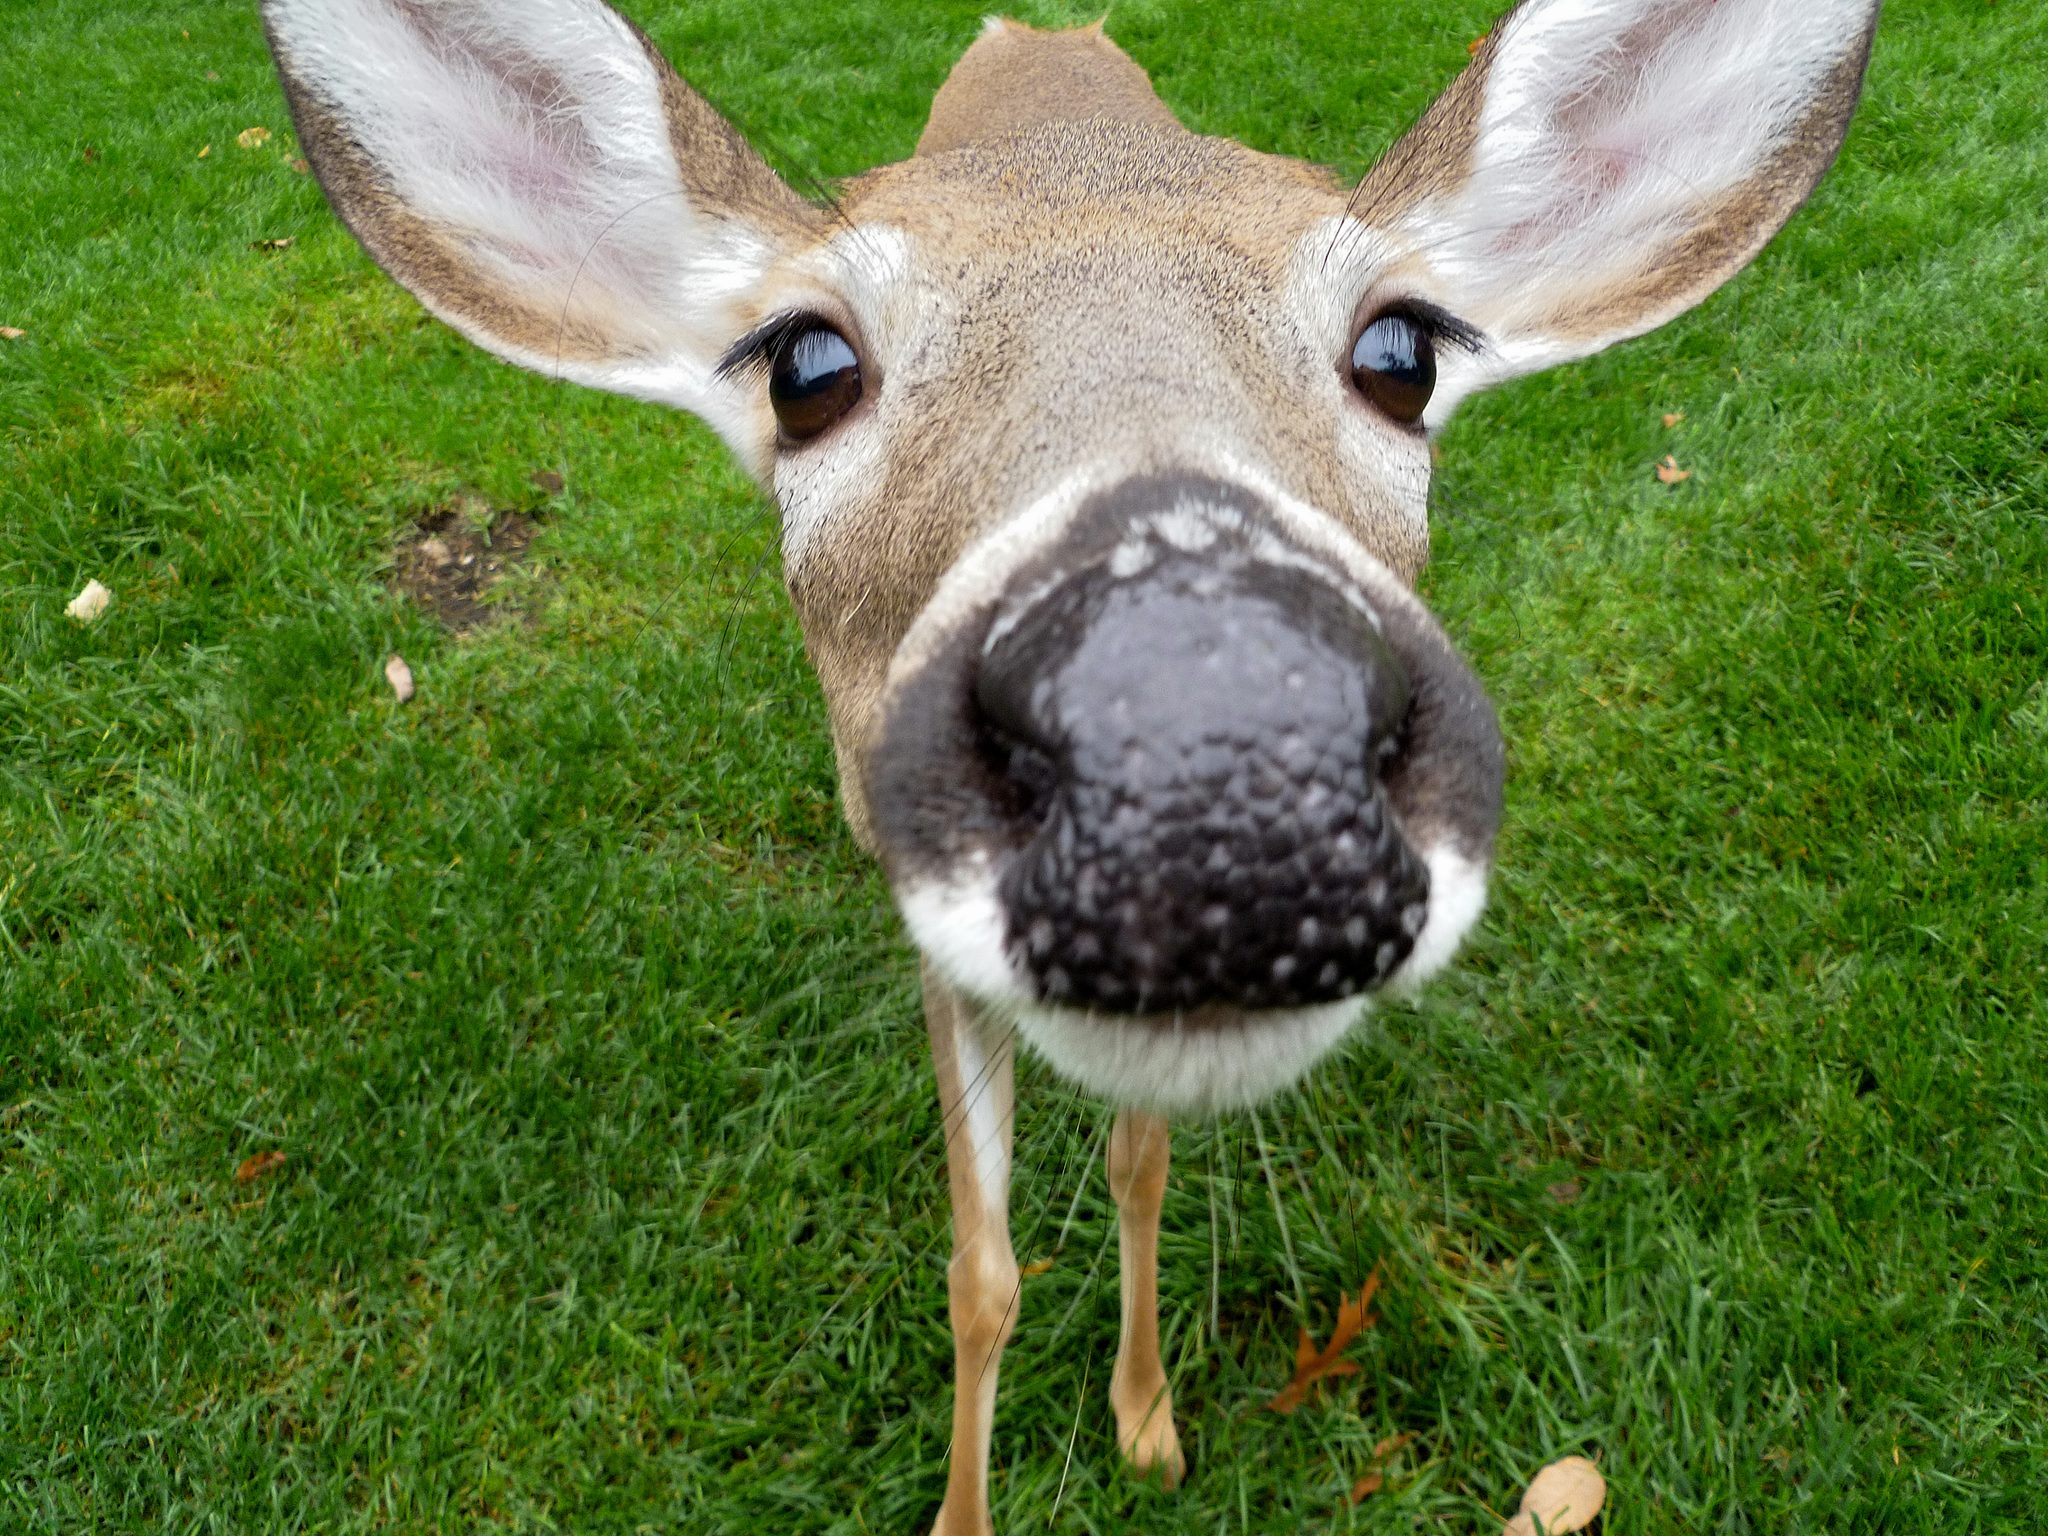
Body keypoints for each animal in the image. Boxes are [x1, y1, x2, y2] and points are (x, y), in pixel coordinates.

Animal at [260, 3, 1884, 1531]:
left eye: (1402, 349)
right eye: (806, 362)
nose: (1208, 752)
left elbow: (1137, 1168)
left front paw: (1149, 1427)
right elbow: (980, 1268)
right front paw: (961, 1511)